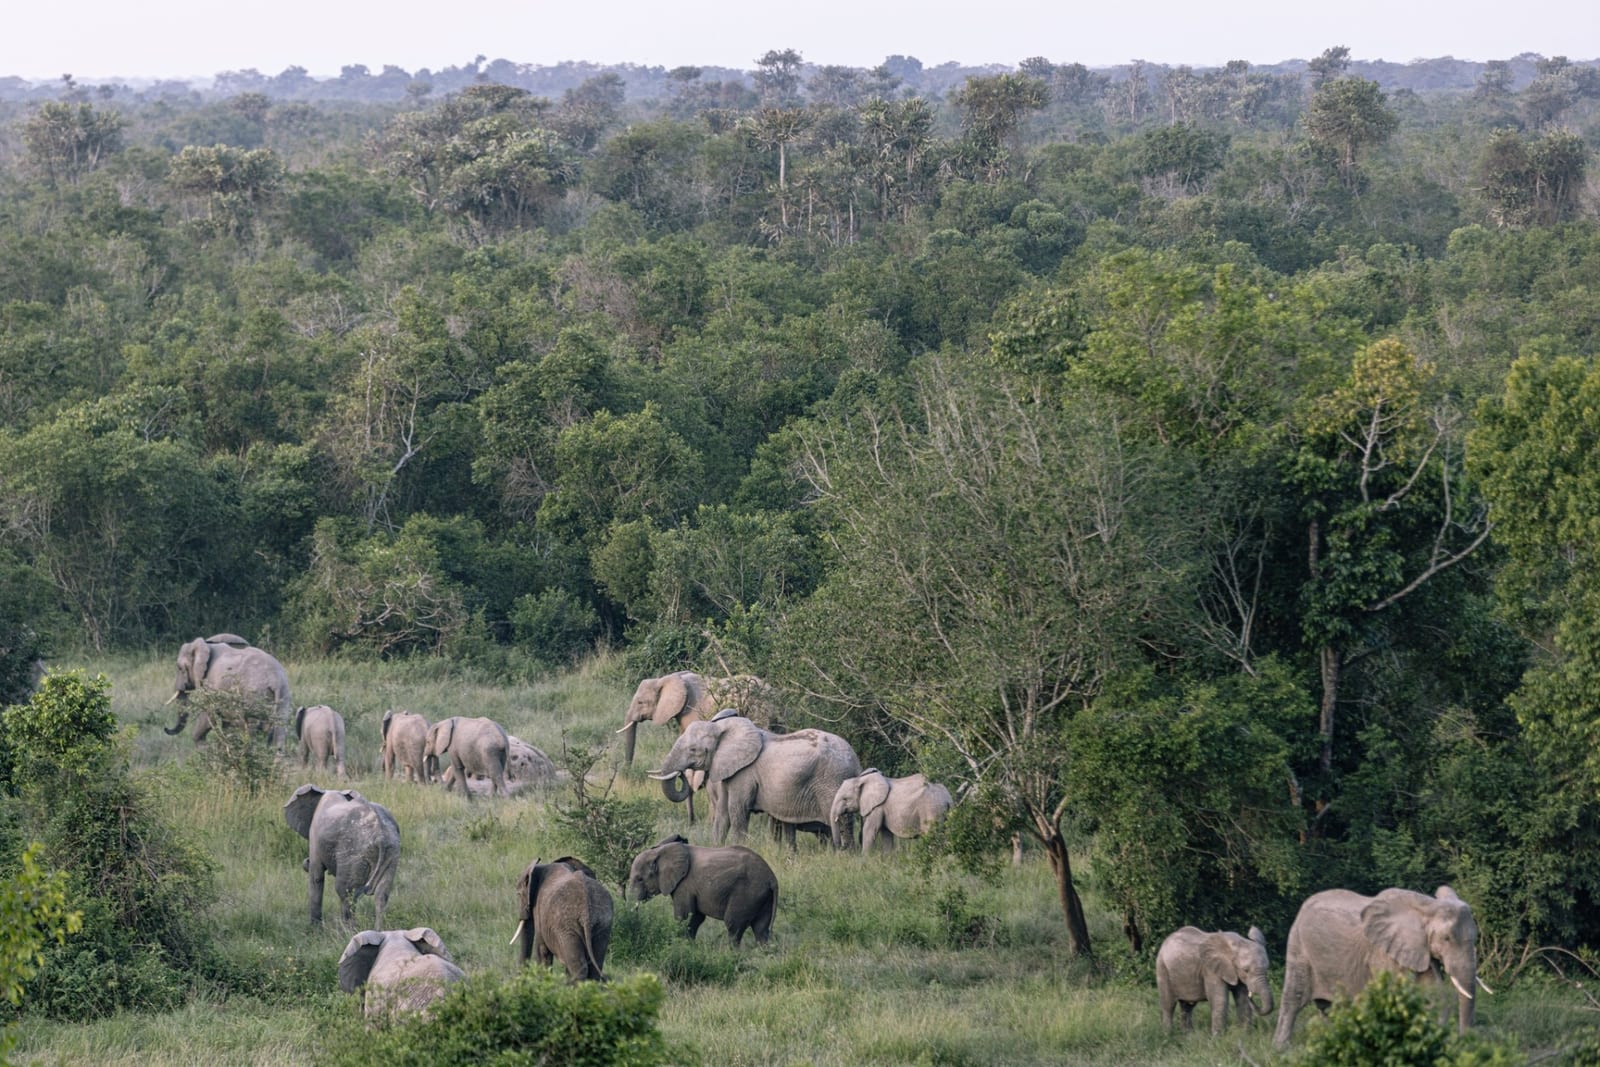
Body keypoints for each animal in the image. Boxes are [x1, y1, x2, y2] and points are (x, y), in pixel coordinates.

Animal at [283, 784, 401, 928]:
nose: (306, 861)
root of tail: (381, 836)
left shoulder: (315, 834)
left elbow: (316, 878)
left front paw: (315, 929)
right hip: (392, 853)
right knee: (381, 893)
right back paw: (377, 930)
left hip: (354, 854)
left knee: (345, 891)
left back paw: (347, 930)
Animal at [628, 835, 778, 946]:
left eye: (639, 879)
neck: (660, 852)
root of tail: (772, 878)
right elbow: (696, 918)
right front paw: (689, 946)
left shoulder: (684, 885)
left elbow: (684, 916)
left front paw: (679, 946)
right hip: (762, 895)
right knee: (761, 929)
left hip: (747, 892)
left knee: (733, 926)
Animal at [649, 714, 861, 845]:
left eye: (693, 749)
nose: (681, 774)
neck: (721, 727)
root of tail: (855, 759)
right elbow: (723, 813)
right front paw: (715, 848)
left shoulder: (744, 774)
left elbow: (737, 811)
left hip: (832, 781)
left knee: (840, 822)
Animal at [1273, 886, 1481, 1048]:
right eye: (1446, 938)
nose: (1465, 1041)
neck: (1427, 907)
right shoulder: (1382, 952)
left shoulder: (1420, 949)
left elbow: (1433, 993)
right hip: (1298, 945)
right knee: (1294, 998)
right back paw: (1281, 1049)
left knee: (1329, 1008)